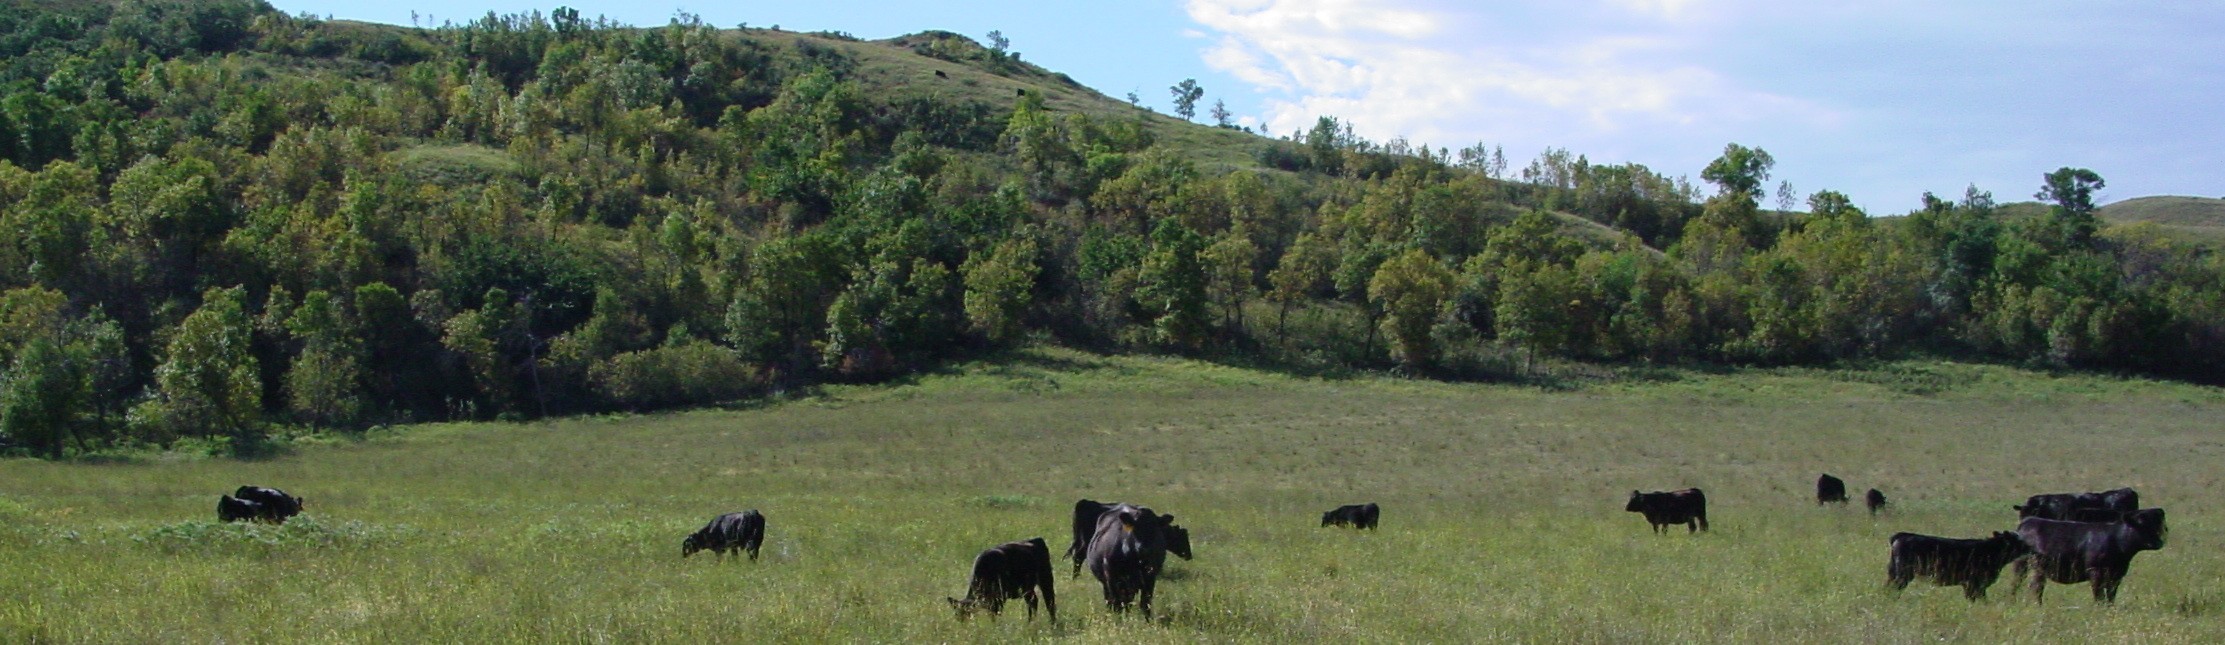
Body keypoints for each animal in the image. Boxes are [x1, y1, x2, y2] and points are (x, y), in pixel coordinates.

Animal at [2020, 509, 2171, 604]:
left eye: (2158, 524)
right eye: (2140, 523)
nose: (2157, 543)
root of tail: (2029, 521)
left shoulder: (2117, 575)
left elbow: (2111, 595)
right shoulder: (2095, 571)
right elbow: (2099, 595)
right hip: (2034, 567)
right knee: (2035, 587)